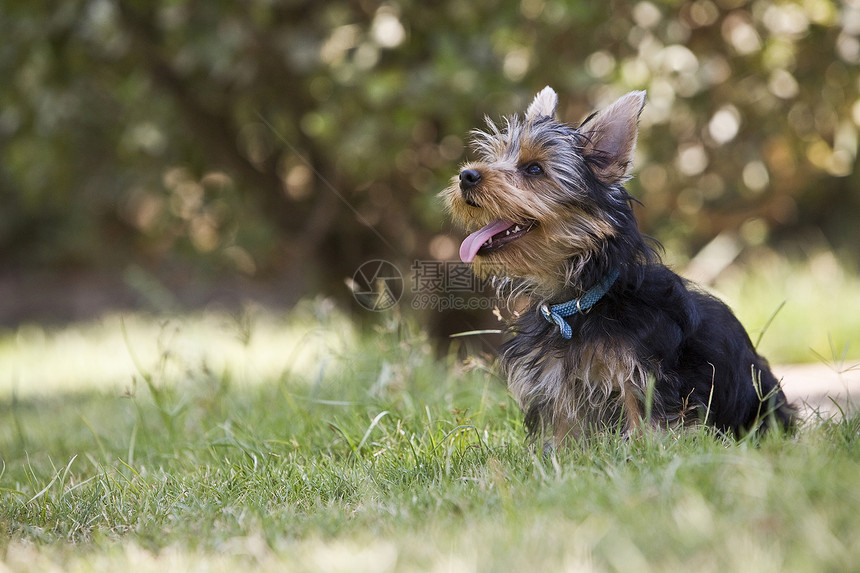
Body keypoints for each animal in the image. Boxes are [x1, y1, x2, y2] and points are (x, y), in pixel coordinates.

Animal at [446, 86, 796, 442]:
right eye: (496, 158)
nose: (467, 175)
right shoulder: (555, 382)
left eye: (534, 170)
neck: (579, 301)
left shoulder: (641, 373)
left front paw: (645, 450)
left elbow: (644, 420)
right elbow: (561, 429)